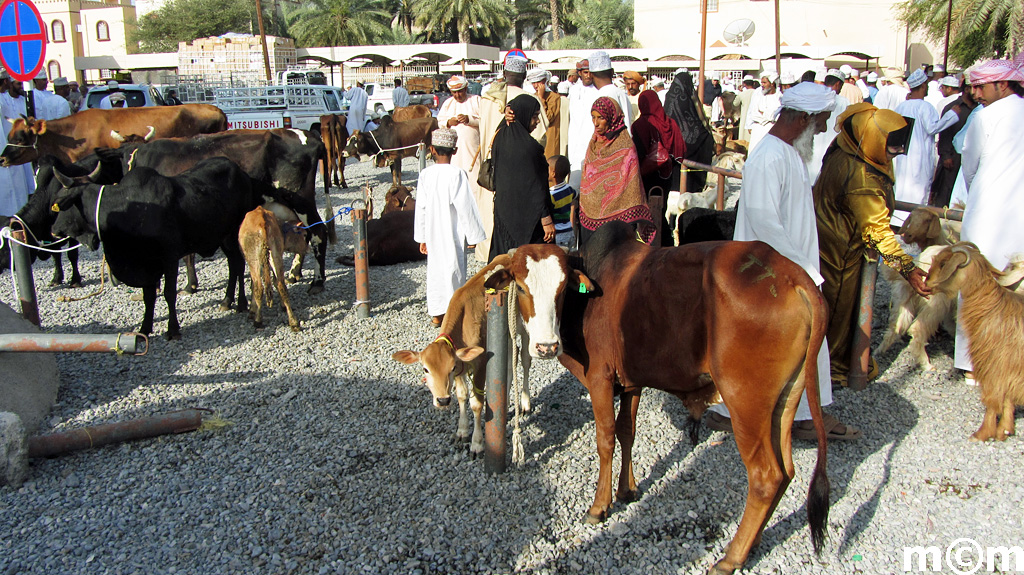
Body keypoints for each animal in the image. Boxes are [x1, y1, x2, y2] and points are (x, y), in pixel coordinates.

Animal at [50, 154, 262, 337]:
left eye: (59, 202)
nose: (53, 229)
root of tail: (241, 172)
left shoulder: (169, 259)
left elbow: (169, 293)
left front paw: (173, 329)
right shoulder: (147, 266)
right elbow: (148, 297)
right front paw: (145, 328)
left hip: (233, 235)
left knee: (238, 265)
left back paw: (241, 303)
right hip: (222, 237)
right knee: (233, 265)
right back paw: (227, 301)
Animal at [481, 224, 831, 572]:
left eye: (563, 287)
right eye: (521, 287)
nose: (546, 347)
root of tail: (791, 275)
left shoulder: (600, 379)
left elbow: (606, 439)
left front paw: (600, 505)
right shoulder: (631, 381)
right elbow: (627, 432)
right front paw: (627, 489)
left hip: (745, 404)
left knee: (766, 477)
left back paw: (732, 555)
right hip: (784, 403)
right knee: (786, 472)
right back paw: (753, 543)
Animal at [925, 240, 1024, 437]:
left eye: (943, 264)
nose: (927, 281)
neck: (992, 307)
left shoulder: (995, 367)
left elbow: (992, 400)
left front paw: (982, 434)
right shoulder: (1009, 371)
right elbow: (1008, 400)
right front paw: (1004, 431)